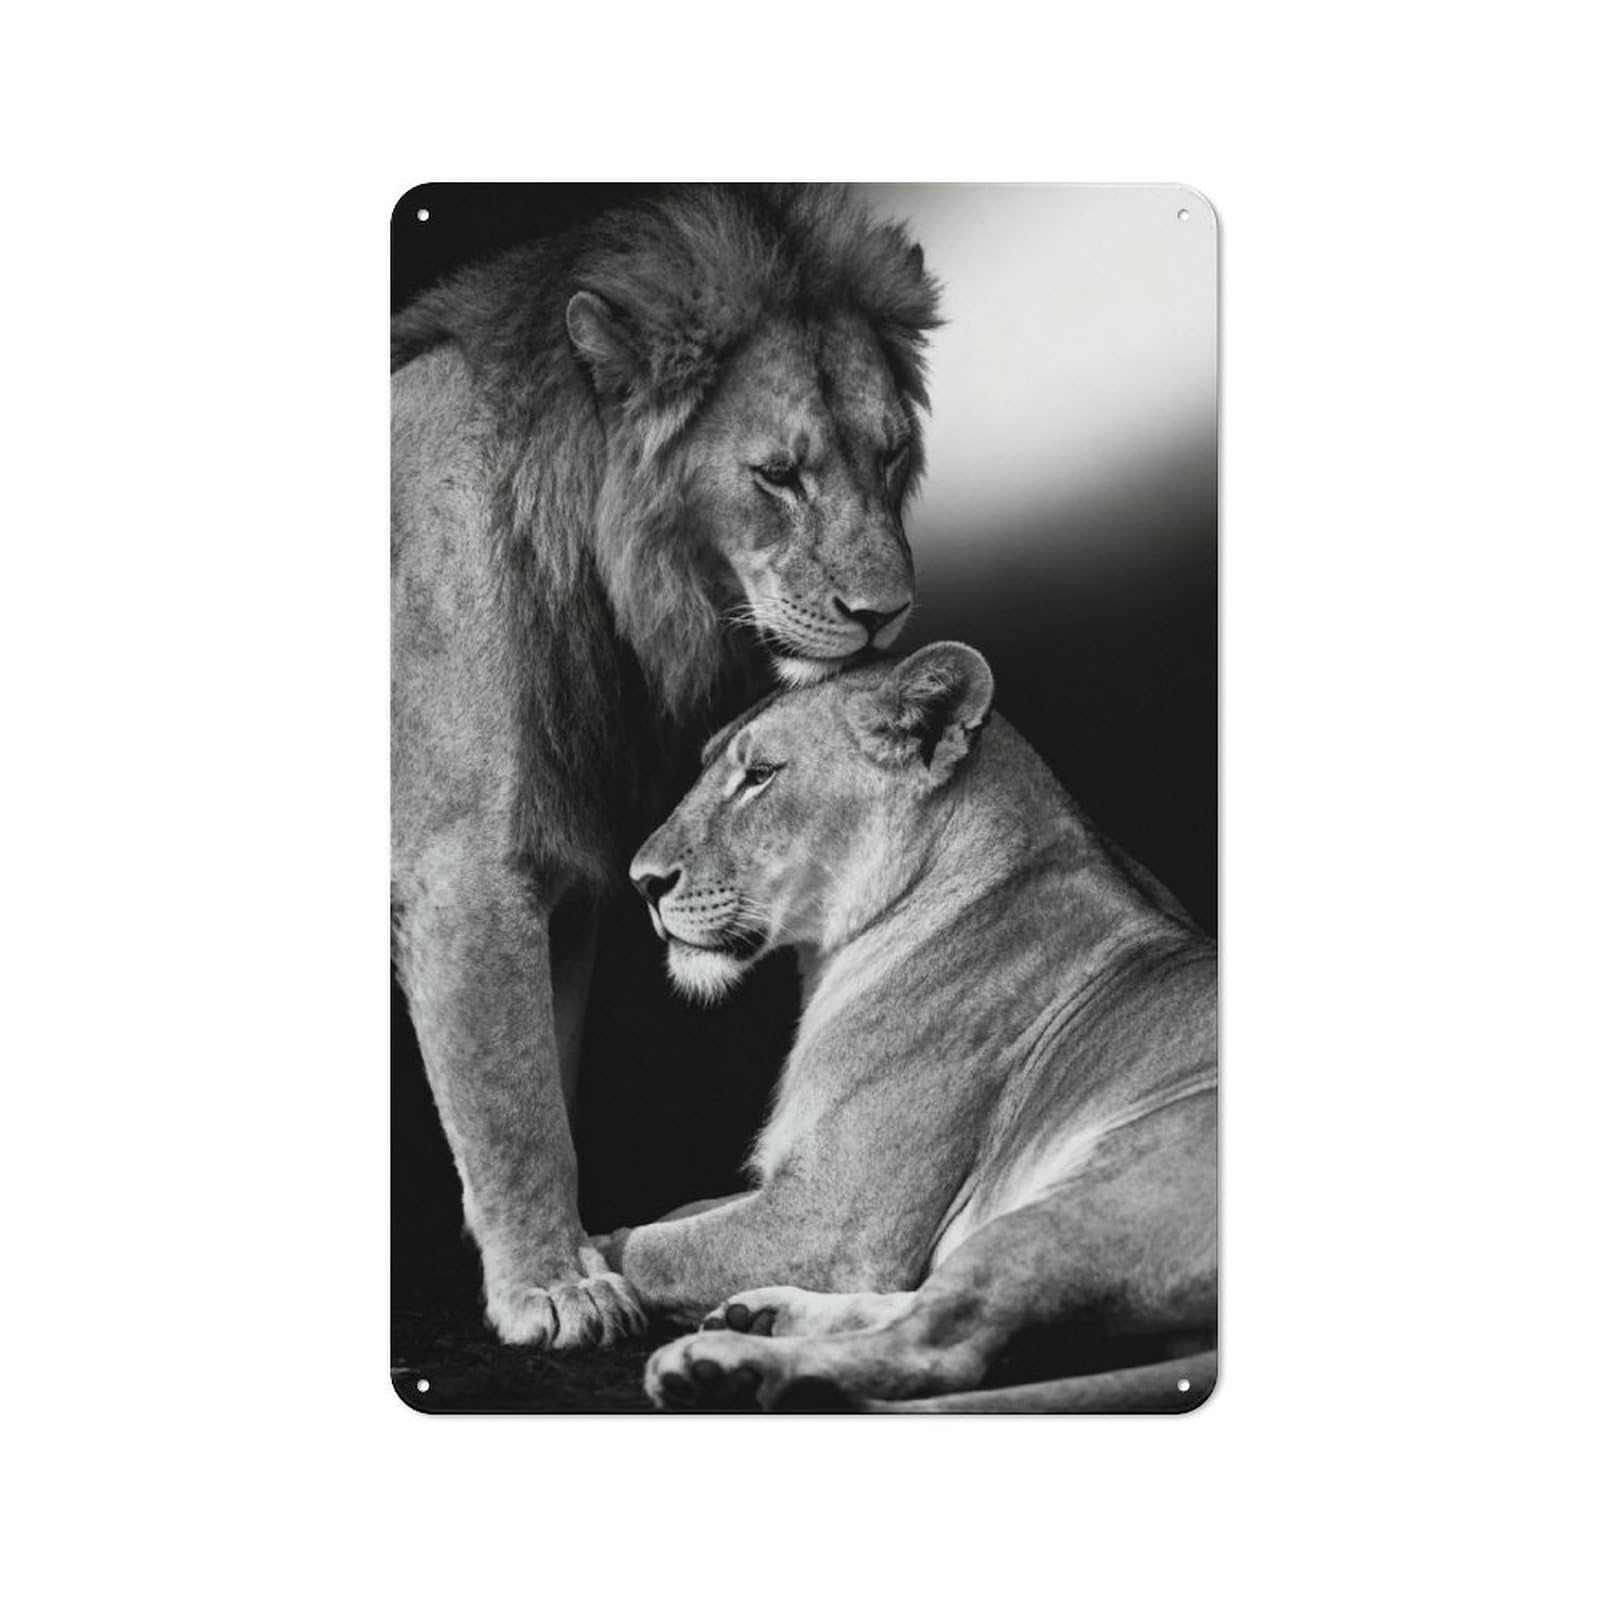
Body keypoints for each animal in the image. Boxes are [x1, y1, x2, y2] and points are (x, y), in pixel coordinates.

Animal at [391, 186, 939, 1348]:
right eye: (777, 475)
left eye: (889, 455)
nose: (885, 617)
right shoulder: (467, 869)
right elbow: (515, 1101)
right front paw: (554, 1286)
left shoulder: (555, 879)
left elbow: (542, 1075)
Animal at [604, 642, 1217, 1409]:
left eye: (761, 775)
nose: (641, 882)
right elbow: (676, 1212)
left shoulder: (833, 1220)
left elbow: (645, 1244)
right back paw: (764, 1316)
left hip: (1087, 1197)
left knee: (945, 1346)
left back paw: (732, 1367)